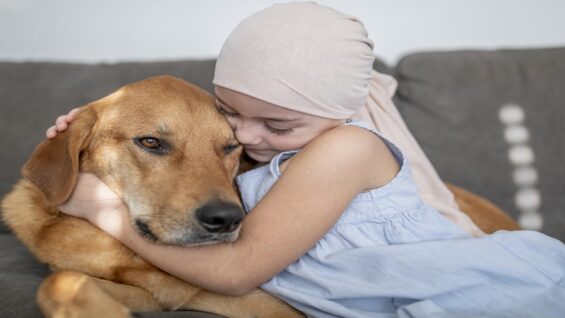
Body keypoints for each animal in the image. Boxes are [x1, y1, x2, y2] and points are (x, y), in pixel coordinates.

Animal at [2, 77, 302, 318]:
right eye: (150, 142)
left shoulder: (264, 303)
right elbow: (57, 280)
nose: (227, 219)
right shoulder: (150, 294)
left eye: (230, 147)